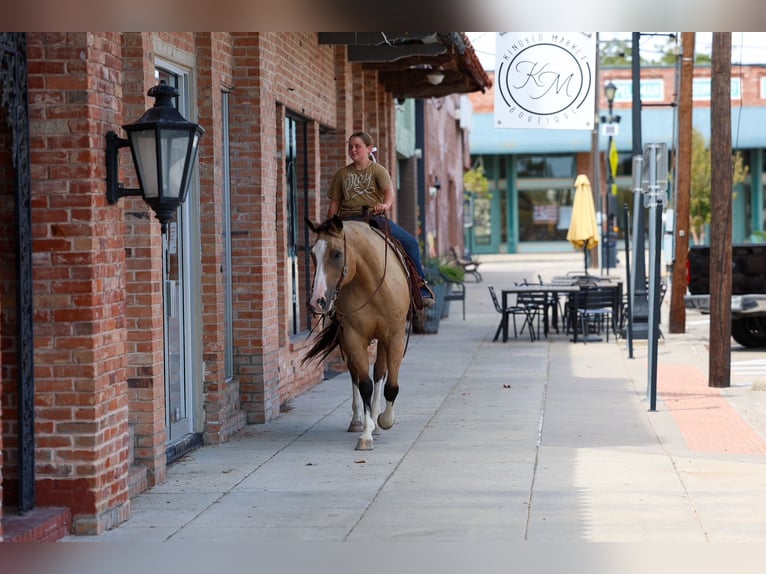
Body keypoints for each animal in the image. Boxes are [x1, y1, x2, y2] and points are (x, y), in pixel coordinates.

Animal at [303, 215, 412, 451]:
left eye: (337, 253)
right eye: (312, 254)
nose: (317, 300)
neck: (372, 283)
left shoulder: (395, 336)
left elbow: (391, 385)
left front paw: (384, 421)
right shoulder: (353, 337)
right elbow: (364, 384)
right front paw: (366, 434)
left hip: (382, 339)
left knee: (380, 371)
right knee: (355, 374)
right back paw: (357, 421)